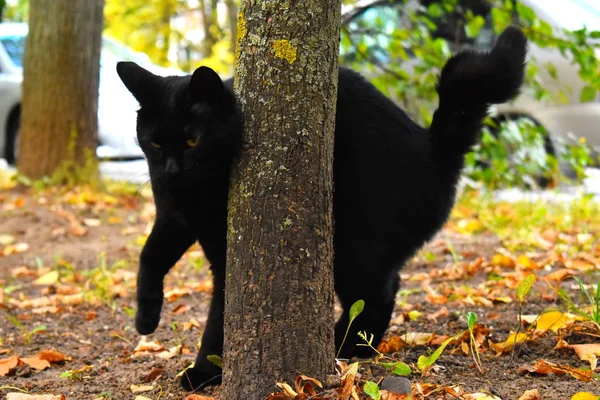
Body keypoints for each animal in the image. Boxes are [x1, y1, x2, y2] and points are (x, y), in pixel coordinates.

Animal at [116, 25, 524, 390]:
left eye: (192, 140)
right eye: (154, 143)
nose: (170, 170)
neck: (192, 191)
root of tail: (437, 149)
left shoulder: (227, 250)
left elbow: (220, 318)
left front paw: (204, 372)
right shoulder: (173, 218)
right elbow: (149, 256)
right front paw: (145, 318)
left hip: (354, 247)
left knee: (379, 294)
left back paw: (344, 345)